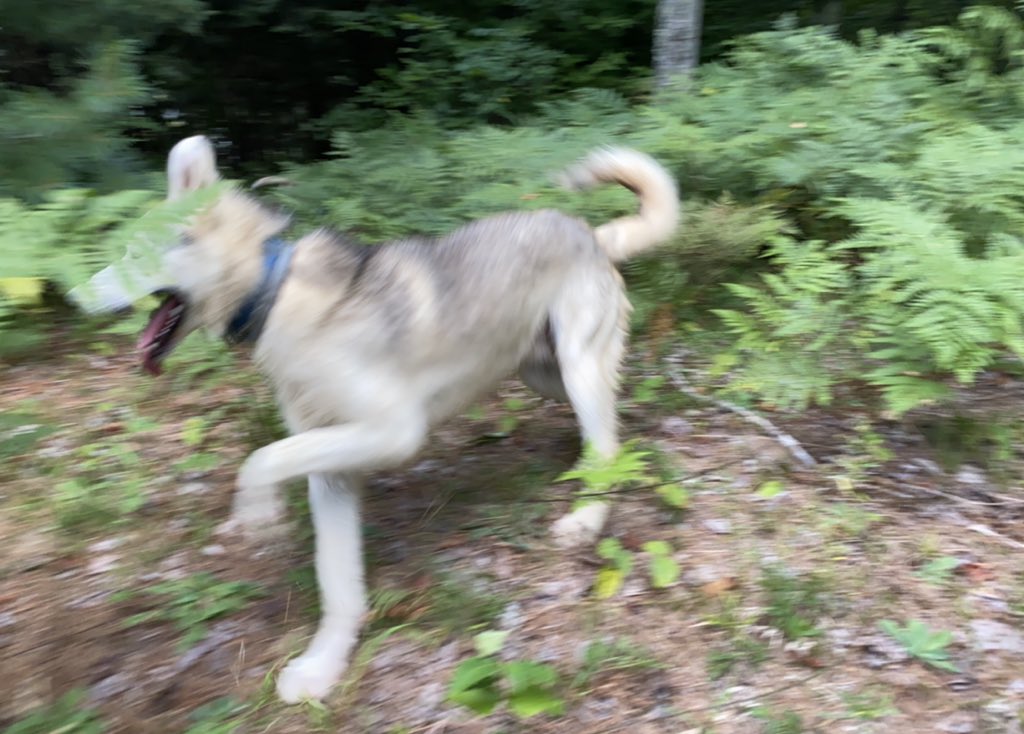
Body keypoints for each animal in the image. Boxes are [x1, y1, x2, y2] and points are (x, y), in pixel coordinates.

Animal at [79, 134, 679, 700]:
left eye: (134, 253)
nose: (77, 294)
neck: (274, 296)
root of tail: (591, 236)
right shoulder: (331, 469)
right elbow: (337, 580)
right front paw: (322, 666)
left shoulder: (393, 432)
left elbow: (260, 459)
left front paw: (257, 516)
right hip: (541, 371)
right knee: (609, 431)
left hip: (576, 364)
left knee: (606, 439)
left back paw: (587, 517)